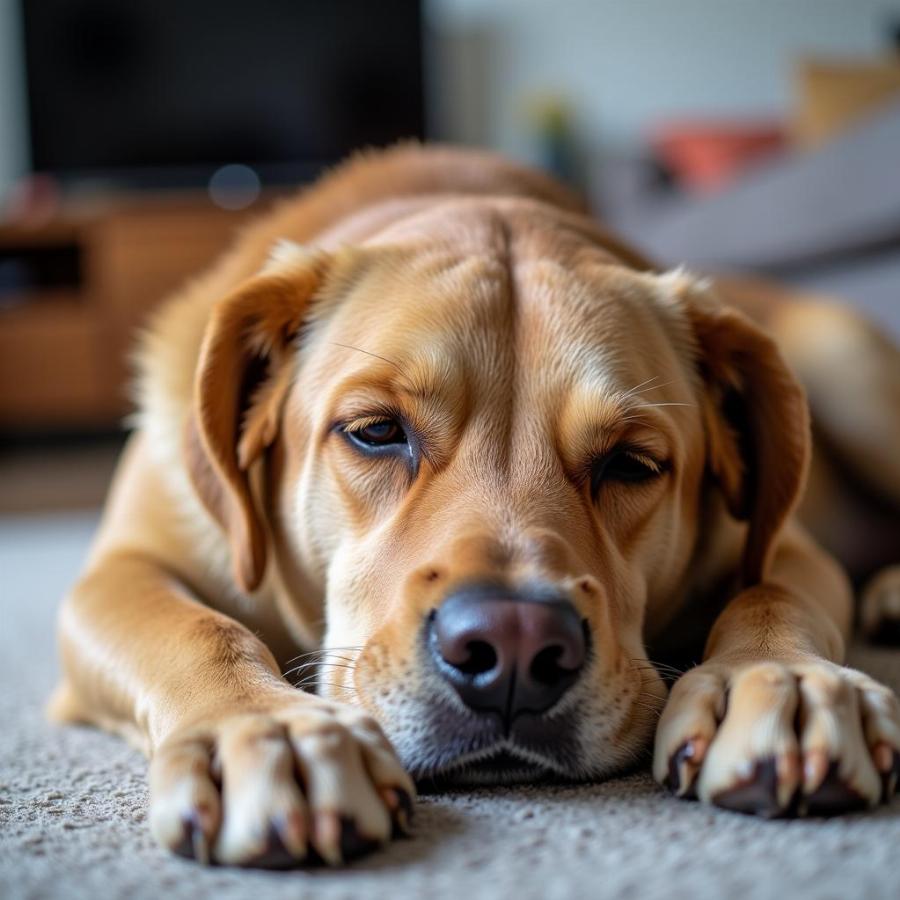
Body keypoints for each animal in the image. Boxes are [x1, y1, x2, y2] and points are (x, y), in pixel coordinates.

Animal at [49, 146, 900, 864]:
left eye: (632, 462)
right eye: (376, 431)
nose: (516, 648)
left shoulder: (788, 549)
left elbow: (772, 593)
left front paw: (783, 679)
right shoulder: (118, 572)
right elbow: (201, 630)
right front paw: (267, 727)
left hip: (850, 367)